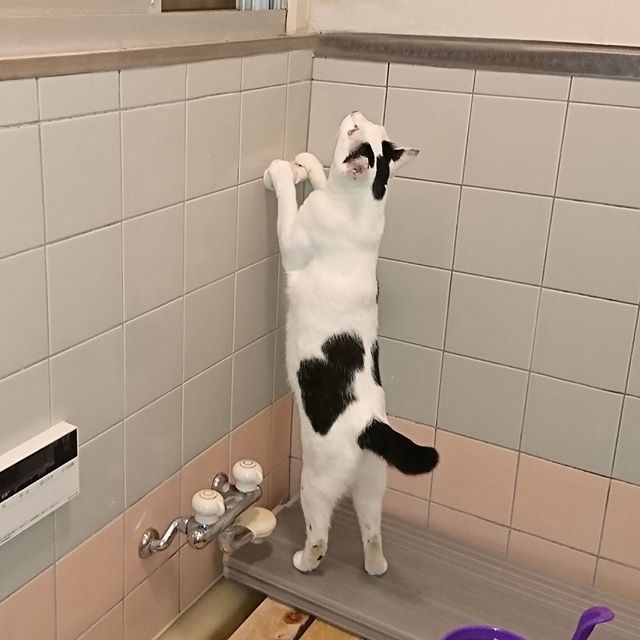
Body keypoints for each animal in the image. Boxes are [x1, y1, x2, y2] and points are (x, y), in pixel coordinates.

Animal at [264, 111, 439, 576]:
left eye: (353, 131)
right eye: (365, 124)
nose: (355, 112)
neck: (365, 206)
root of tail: (370, 426)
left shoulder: (293, 241)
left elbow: (289, 205)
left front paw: (283, 173)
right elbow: (322, 178)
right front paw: (309, 163)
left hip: (315, 482)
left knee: (320, 535)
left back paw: (303, 561)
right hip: (372, 486)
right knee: (373, 534)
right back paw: (374, 566)